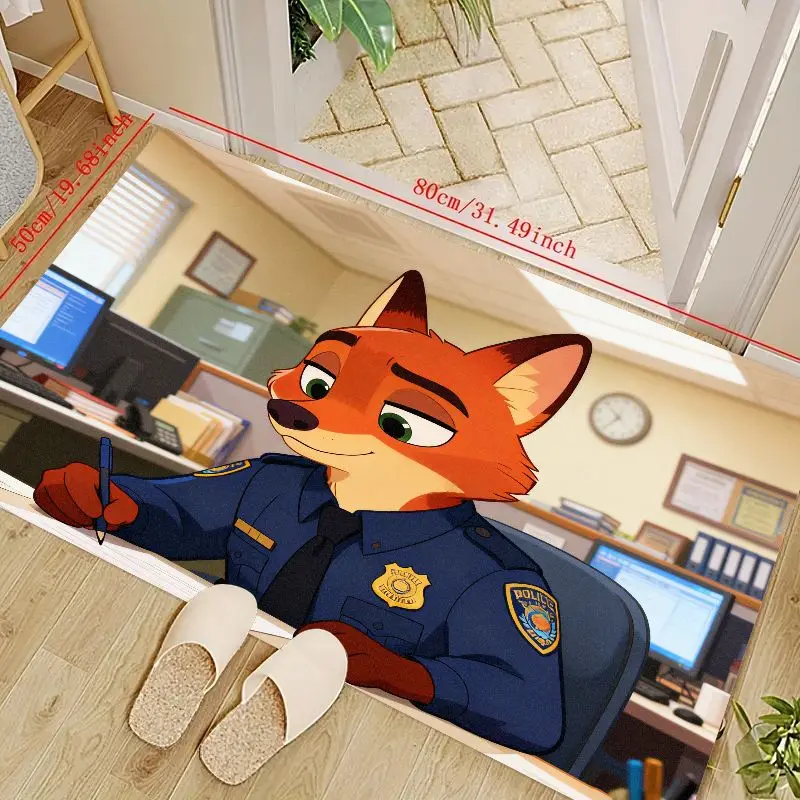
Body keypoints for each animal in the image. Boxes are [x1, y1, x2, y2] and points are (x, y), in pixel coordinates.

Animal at [35, 269, 592, 756]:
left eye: (403, 424)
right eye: (319, 381)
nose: (290, 411)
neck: (355, 509)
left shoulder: (508, 588)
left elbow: (521, 697)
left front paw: (353, 648)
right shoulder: (257, 472)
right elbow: (182, 513)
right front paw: (86, 492)